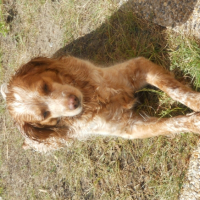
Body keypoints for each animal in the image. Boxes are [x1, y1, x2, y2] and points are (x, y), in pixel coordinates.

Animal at [1, 55, 200, 152]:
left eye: (44, 87)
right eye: (45, 115)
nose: (73, 102)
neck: (93, 99)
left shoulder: (136, 67)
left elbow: (175, 90)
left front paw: (196, 101)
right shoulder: (130, 127)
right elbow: (173, 123)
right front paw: (196, 121)